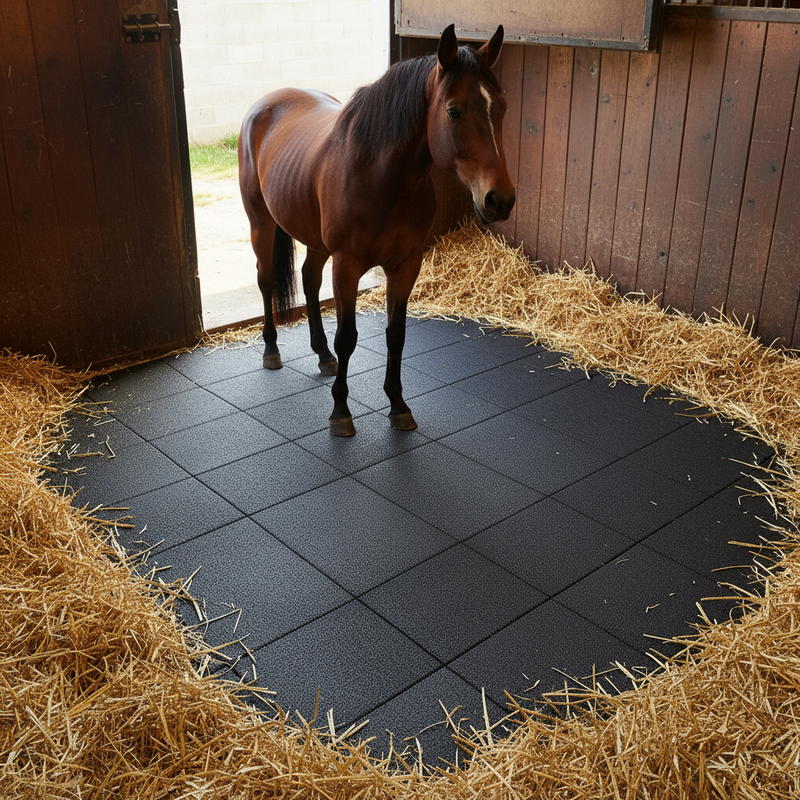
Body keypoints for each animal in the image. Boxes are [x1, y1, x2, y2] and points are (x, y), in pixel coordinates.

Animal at [238, 24, 515, 436]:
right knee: (267, 279)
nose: (500, 199)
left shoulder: (406, 265)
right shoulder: (347, 266)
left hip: (316, 240)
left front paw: (398, 405)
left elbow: (395, 335)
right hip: (261, 222)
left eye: (502, 107)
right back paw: (271, 350)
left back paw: (322, 355)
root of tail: (266, 103)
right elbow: (348, 338)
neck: (382, 178)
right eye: (453, 111)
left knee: (309, 280)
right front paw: (340, 412)